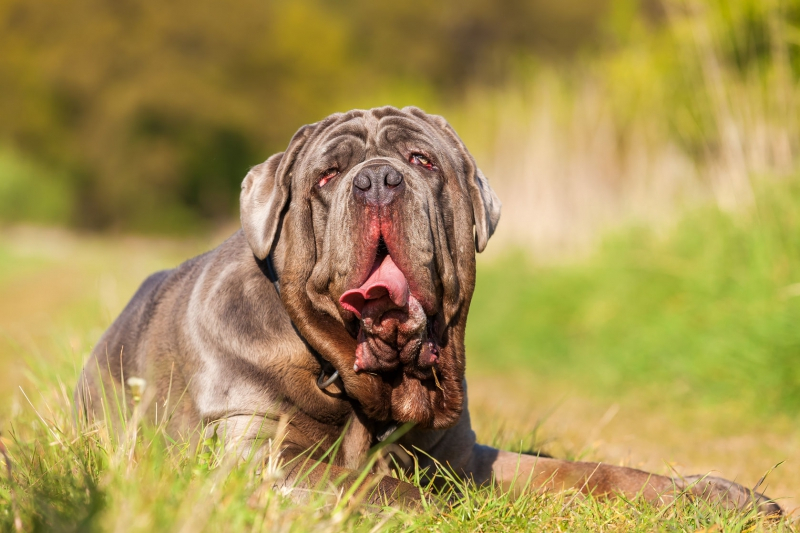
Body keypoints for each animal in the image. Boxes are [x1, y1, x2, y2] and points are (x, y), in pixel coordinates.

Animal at [76, 106, 780, 512]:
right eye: (328, 176)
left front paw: (710, 493)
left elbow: (588, 471)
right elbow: (366, 481)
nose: (378, 179)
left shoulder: (466, 458)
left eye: (420, 161)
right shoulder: (257, 453)